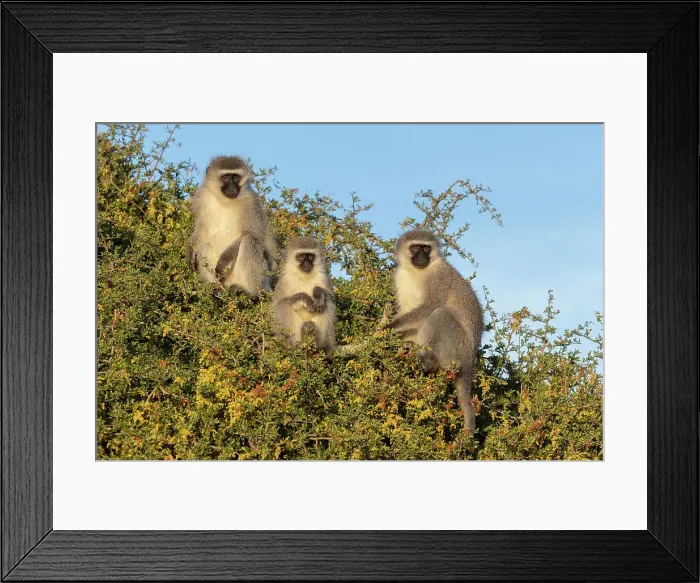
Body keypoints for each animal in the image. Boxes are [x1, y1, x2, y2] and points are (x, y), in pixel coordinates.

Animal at [188, 155, 277, 298]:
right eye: (226, 177)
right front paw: (190, 249)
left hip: (264, 282)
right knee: (205, 246)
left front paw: (223, 262)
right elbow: (201, 230)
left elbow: (252, 234)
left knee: (249, 240)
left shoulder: (250, 204)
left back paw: (251, 293)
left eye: (235, 177)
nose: (232, 187)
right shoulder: (202, 198)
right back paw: (214, 287)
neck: (225, 201)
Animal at [384, 229, 484, 434]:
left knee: (439, 314)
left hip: (456, 349)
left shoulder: (438, 278)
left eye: (426, 248)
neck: (416, 272)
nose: (422, 257)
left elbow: (430, 306)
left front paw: (388, 327)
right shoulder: (400, 276)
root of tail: (469, 362)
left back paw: (427, 360)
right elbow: (406, 311)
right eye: (415, 248)